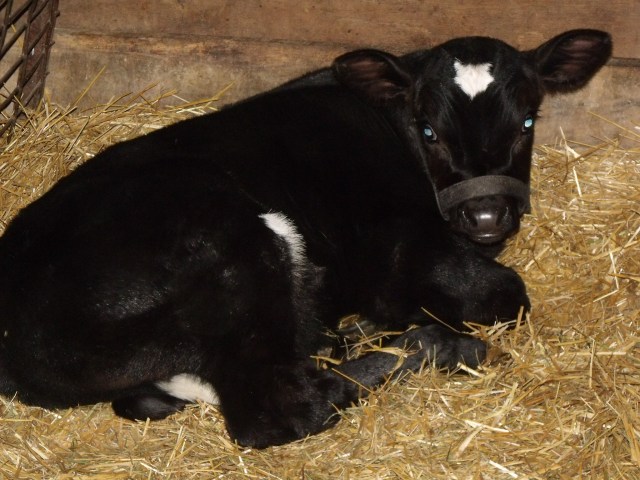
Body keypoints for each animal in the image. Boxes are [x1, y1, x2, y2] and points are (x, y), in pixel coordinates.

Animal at [0, 30, 611, 448]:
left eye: (528, 121)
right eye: (430, 129)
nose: (485, 216)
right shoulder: (401, 247)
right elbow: (505, 294)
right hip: (237, 250)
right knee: (281, 411)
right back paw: (436, 345)